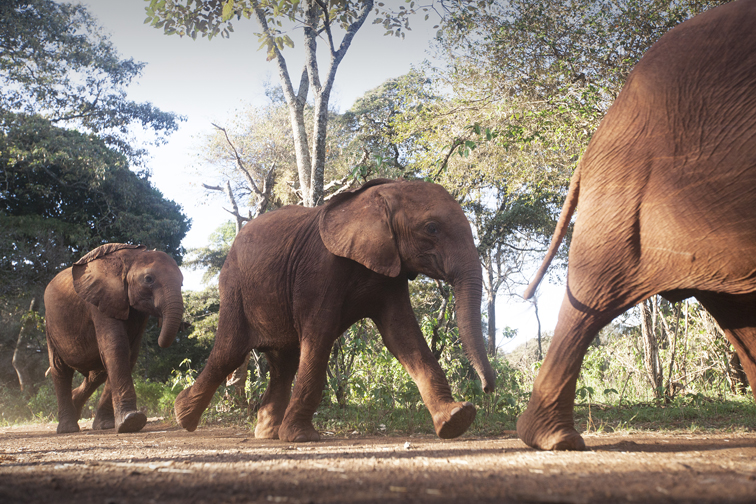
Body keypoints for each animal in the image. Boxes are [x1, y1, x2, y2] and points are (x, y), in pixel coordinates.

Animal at [45, 244, 185, 434]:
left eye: (182, 282)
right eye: (148, 279)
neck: (132, 256)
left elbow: (129, 354)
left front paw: (108, 425)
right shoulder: (101, 301)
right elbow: (117, 348)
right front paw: (131, 422)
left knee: (96, 374)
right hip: (50, 326)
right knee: (60, 369)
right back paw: (68, 429)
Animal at [176, 177, 496, 440]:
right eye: (432, 228)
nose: (487, 389)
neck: (376, 196)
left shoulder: (389, 271)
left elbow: (403, 336)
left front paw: (456, 420)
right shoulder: (320, 268)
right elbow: (320, 334)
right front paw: (301, 437)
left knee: (283, 364)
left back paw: (265, 434)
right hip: (234, 288)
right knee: (228, 353)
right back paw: (183, 417)